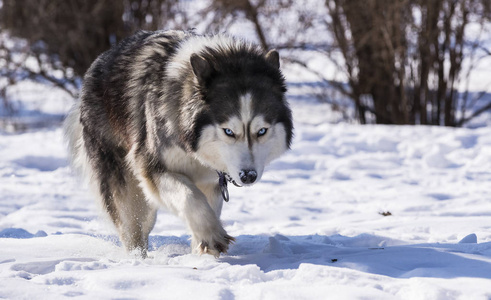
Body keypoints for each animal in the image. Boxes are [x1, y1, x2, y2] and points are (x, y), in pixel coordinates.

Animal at [64, 29, 292, 256]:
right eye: (228, 131)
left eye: (261, 131)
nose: (248, 176)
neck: (191, 147)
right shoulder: (153, 168)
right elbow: (190, 197)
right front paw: (212, 236)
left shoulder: (211, 181)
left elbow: (205, 209)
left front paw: (203, 251)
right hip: (131, 193)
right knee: (134, 230)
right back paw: (138, 259)